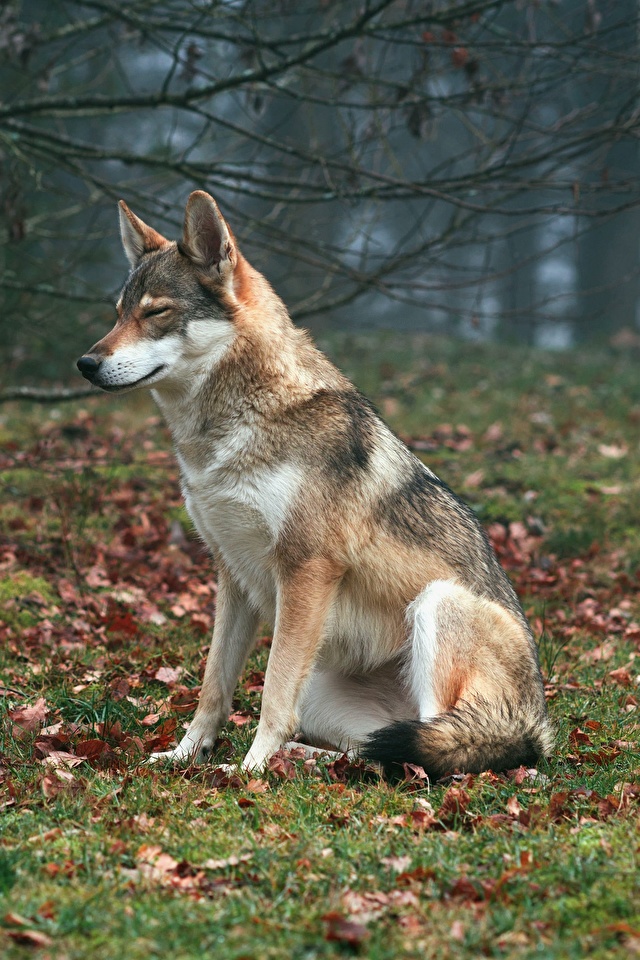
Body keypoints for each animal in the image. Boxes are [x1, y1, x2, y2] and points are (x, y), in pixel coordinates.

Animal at [77, 191, 553, 777]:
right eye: (119, 313)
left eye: (156, 312)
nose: (85, 363)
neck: (230, 428)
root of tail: (537, 729)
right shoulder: (232, 576)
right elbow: (214, 687)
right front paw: (185, 757)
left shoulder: (305, 569)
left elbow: (272, 691)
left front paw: (250, 771)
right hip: (327, 693)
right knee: (372, 750)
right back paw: (307, 760)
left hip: (436, 606)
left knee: (434, 752)